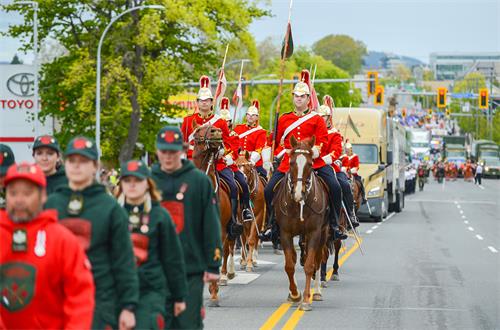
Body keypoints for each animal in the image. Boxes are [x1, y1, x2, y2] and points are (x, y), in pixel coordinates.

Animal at [274, 135, 328, 310]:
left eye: (310, 164)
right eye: (291, 162)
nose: (298, 193)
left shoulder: (314, 232)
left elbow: (310, 265)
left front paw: (305, 299)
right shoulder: (284, 233)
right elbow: (289, 265)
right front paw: (295, 294)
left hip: (324, 233)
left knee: (319, 259)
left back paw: (316, 292)